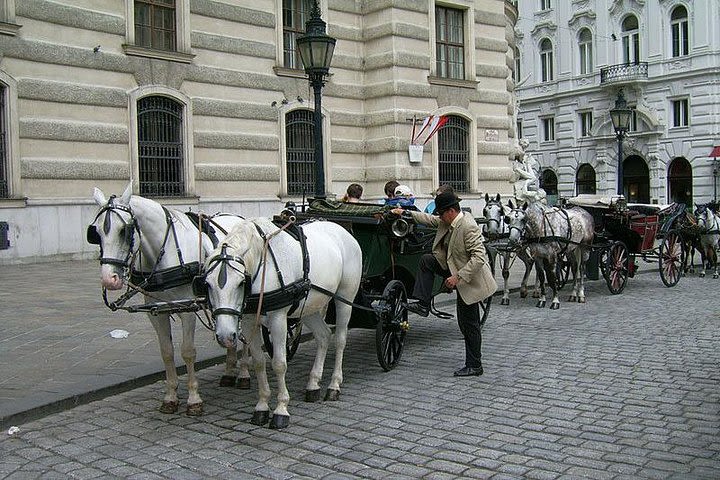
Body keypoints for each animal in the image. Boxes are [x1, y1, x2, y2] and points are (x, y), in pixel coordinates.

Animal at [88, 184, 250, 416]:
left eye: (124, 230)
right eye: (96, 233)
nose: (109, 280)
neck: (167, 250)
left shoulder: (187, 309)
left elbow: (188, 352)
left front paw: (193, 399)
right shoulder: (156, 312)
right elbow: (166, 352)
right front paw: (170, 397)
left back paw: (244, 372)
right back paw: (229, 371)